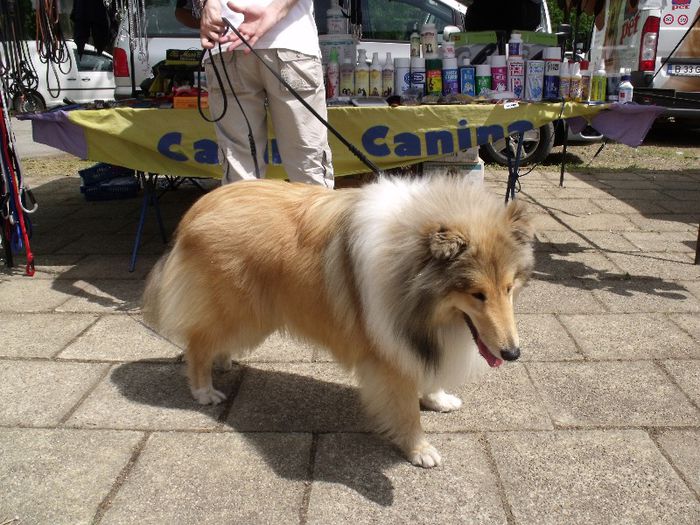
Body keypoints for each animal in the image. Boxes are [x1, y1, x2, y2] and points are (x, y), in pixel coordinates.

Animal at [144, 176, 536, 466]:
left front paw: (437, 398)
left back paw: (224, 361)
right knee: (197, 344)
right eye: (477, 294)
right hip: (238, 310)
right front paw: (419, 449)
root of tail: (197, 209)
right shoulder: (390, 348)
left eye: (508, 287)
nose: (513, 354)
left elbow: (427, 372)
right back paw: (204, 390)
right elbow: (406, 408)